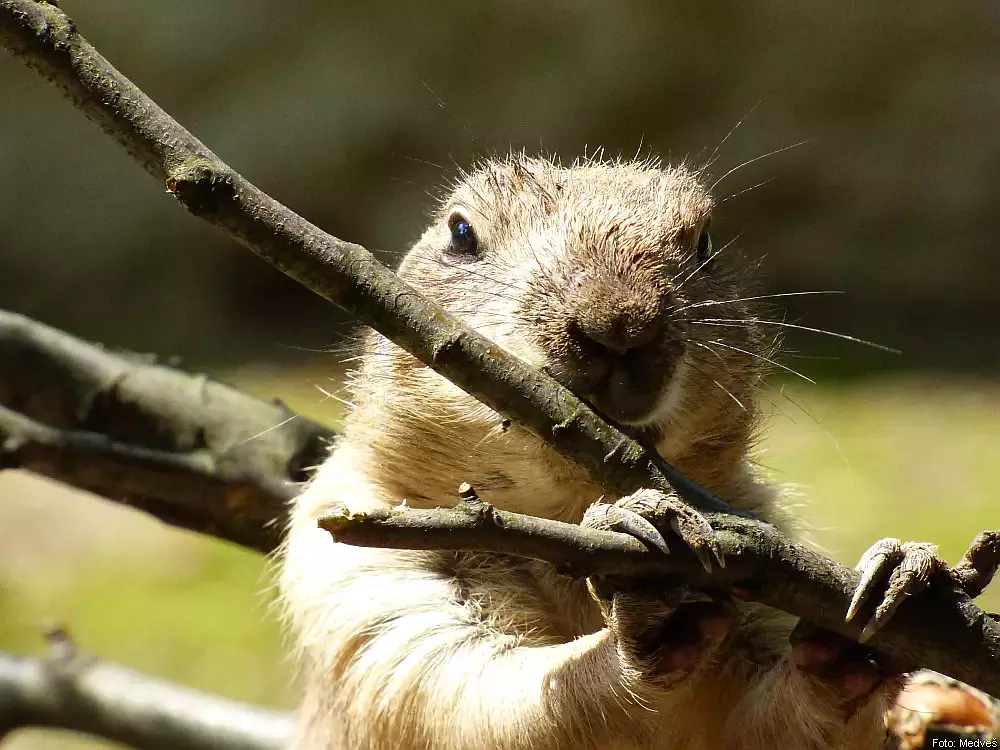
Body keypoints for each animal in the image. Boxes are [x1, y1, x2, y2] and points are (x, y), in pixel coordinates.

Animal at [280, 156, 928, 748]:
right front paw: (641, 565)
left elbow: (768, 723)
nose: (619, 322)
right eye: (461, 233)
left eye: (706, 242)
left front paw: (891, 581)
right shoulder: (363, 582)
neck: (563, 511)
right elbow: (476, 698)